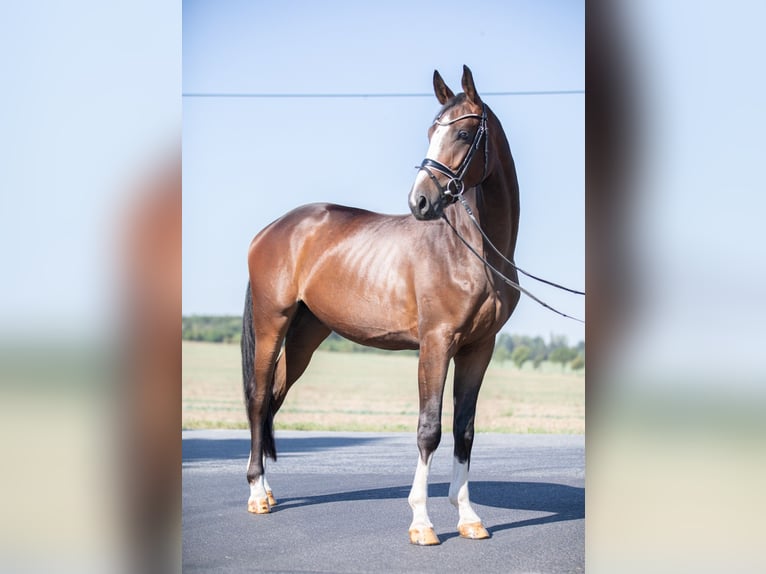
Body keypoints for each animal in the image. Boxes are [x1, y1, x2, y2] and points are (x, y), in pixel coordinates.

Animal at [243, 65, 524, 548]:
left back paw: (267, 488)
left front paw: (468, 518)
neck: (473, 252)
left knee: (276, 396)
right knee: (260, 399)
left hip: (305, 335)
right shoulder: (436, 344)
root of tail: (272, 229)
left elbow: (464, 430)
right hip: (270, 325)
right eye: (431, 131)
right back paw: (258, 493)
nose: (420, 202)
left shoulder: (478, 348)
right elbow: (429, 429)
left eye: (464, 133)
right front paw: (422, 523)